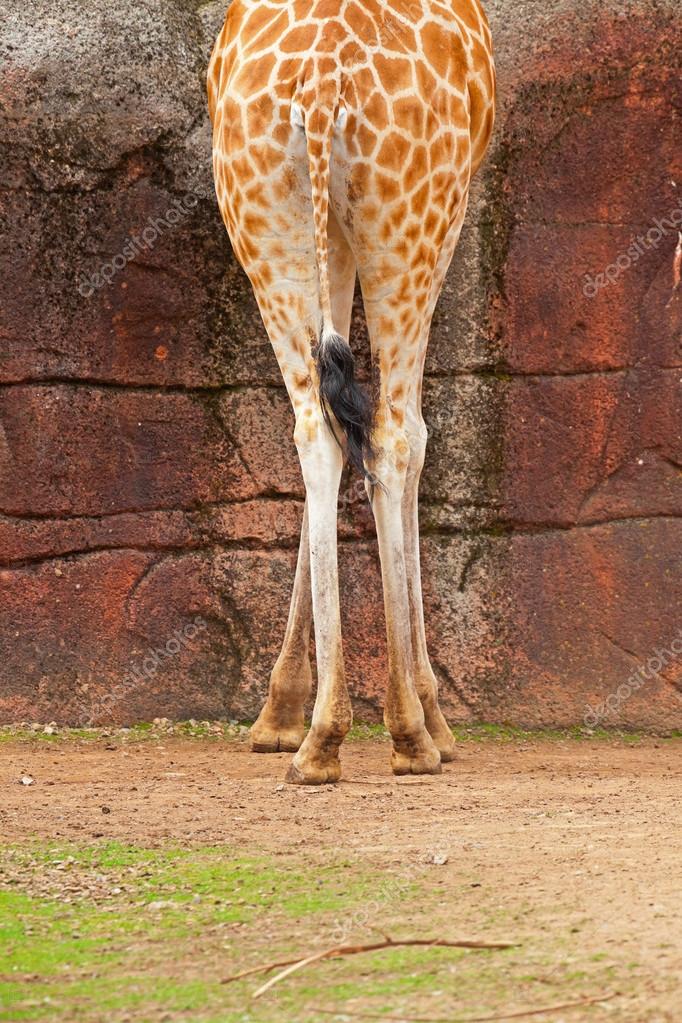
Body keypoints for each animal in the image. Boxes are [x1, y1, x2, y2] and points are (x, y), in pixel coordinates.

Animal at [208, 0, 495, 784]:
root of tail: (320, 83)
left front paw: (277, 714)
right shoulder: (449, 213)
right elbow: (414, 437)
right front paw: (432, 711)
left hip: (267, 226)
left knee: (316, 430)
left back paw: (316, 740)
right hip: (410, 224)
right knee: (392, 435)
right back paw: (409, 731)